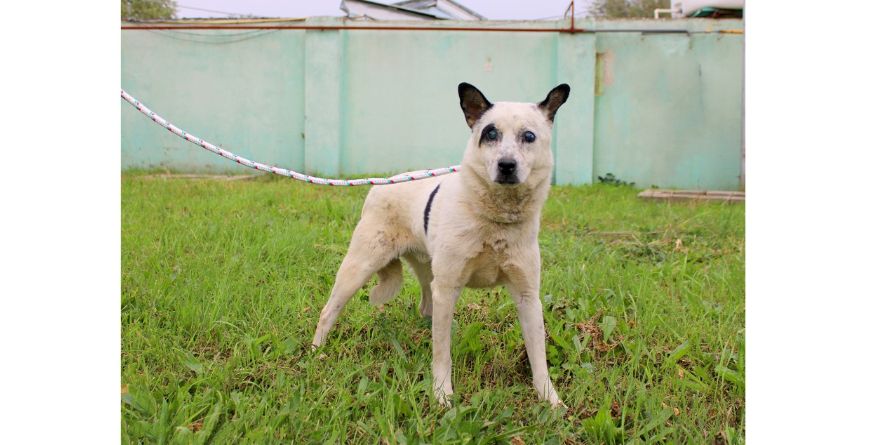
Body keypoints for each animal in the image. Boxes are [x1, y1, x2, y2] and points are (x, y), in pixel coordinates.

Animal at [312, 81, 572, 408]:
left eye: (529, 136)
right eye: (490, 133)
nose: (506, 166)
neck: (495, 218)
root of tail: (381, 184)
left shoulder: (527, 296)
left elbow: (538, 356)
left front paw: (551, 400)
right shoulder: (448, 289)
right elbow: (442, 353)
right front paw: (442, 395)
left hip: (427, 270)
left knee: (427, 304)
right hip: (358, 268)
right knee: (328, 311)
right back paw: (316, 352)